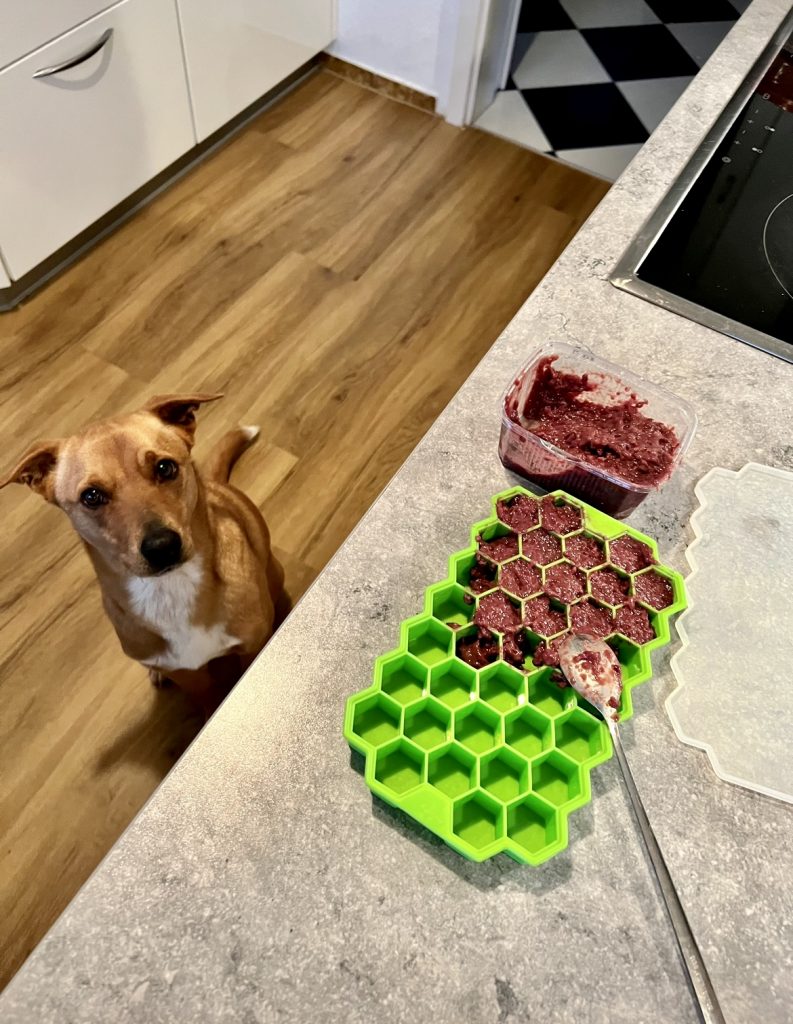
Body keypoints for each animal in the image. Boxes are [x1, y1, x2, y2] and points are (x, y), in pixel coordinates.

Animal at [0, 391, 284, 712]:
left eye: (165, 467)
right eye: (91, 496)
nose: (162, 547)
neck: (171, 589)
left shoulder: (251, 647)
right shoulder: (189, 676)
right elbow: (207, 700)